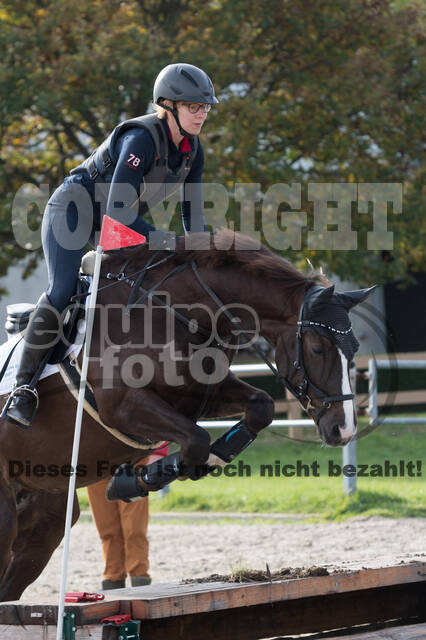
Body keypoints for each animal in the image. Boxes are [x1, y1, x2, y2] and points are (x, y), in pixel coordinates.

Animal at [0, 230, 372, 600]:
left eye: (354, 348)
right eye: (318, 348)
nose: (343, 429)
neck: (175, 313)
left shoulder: (202, 395)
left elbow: (259, 408)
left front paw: (194, 464)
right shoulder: (122, 406)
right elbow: (196, 438)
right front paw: (130, 483)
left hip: (44, 517)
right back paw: (21, 402)